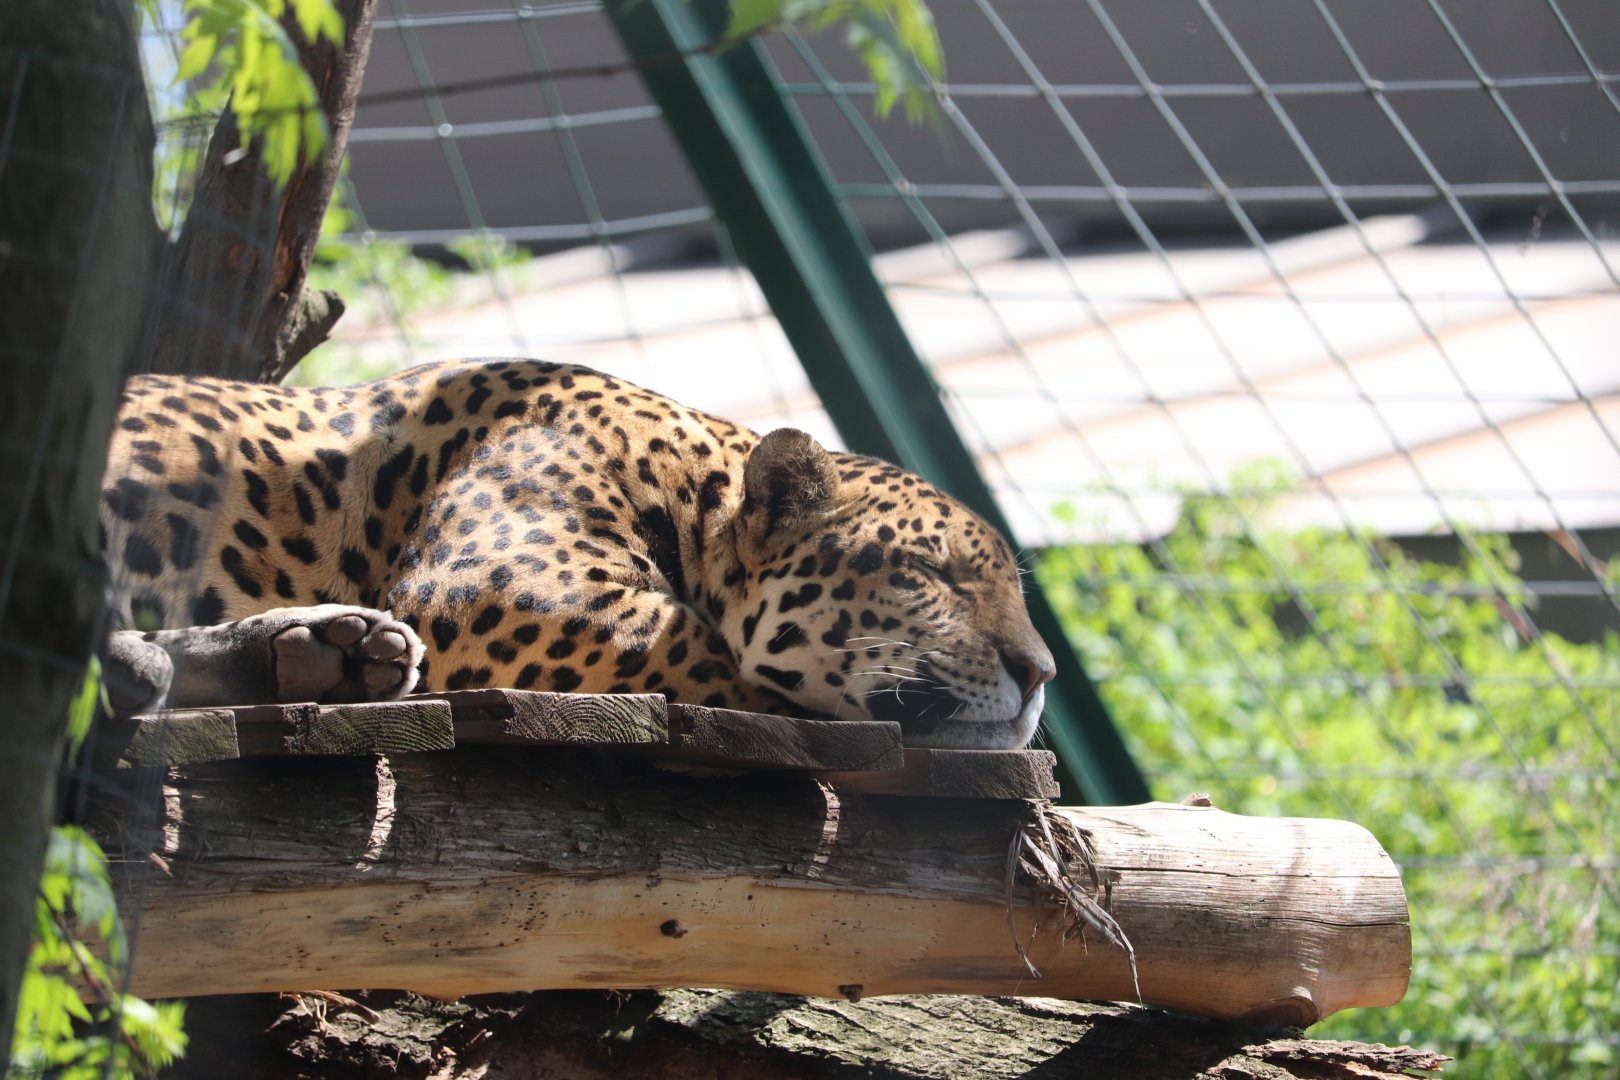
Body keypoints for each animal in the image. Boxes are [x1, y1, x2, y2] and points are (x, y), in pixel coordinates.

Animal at [99, 359, 1055, 749]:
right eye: (932, 575)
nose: (1042, 673)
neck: (687, 478)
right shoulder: (506, 585)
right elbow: (705, 657)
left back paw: (314, 656)